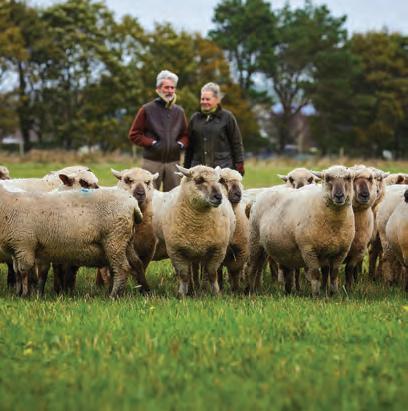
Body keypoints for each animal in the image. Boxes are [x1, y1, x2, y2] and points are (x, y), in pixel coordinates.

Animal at [0, 185, 143, 298]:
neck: (7, 205)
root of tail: (132, 203)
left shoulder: (24, 245)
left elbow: (23, 271)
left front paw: (24, 295)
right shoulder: (15, 250)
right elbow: (17, 272)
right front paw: (17, 293)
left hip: (114, 239)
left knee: (121, 268)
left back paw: (113, 296)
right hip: (125, 241)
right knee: (134, 263)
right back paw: (136, 291)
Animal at [161, 165, 235, 297]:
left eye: (218, 180)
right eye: (199, 180)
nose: (218, 197)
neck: (197, 226)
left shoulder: (218, 250)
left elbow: (212, 274)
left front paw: (216, 294)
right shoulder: (176, 251)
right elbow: (184, 275)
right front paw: (182, 295)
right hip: (191, 251)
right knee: (192, 270)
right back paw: (192, 289)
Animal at [247, 165, 355, 296]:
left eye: (348, 178)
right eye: (327, 178)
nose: (339, 195)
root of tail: (266, 191)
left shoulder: (341, 251)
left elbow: (334, 274)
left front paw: (334, 294)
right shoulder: (308, 249)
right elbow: (315, 274)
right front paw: (316, 295)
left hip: (278, 248)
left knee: (266, 266)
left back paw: (276, 290)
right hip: (254, 239)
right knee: (253, 266)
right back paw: (250, 291)